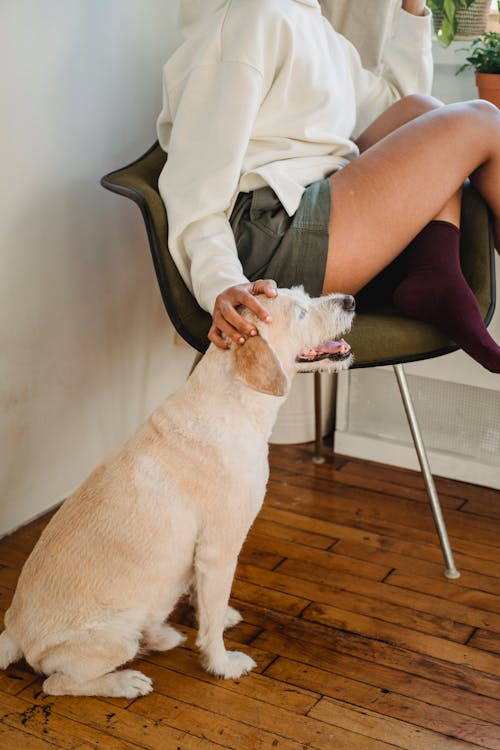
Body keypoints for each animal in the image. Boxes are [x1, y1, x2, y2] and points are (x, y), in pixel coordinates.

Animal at [0, 286, 354, 700]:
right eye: (300, 311)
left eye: (304, 294)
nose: (350, 301)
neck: (235, 401)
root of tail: (14, 631)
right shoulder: (220, 550)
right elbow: (212, 621)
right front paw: (222, 664)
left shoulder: (204, 558)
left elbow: (206, 601)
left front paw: (217, 616)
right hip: (112, 638)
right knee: (57, 683)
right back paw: (124, 681)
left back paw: (159, 637)